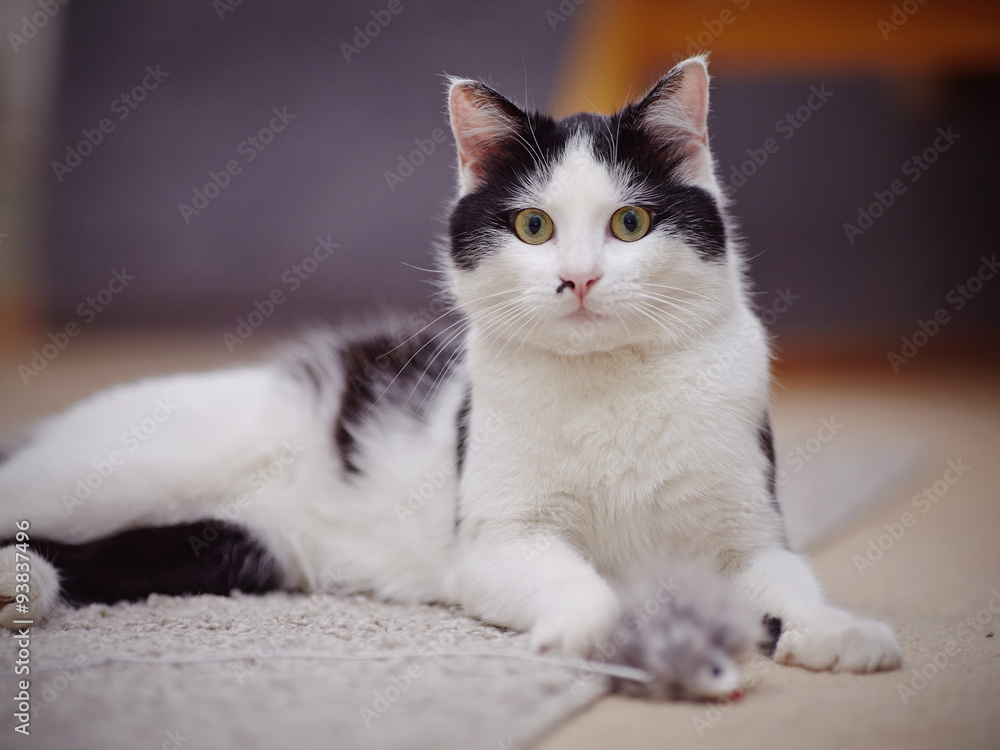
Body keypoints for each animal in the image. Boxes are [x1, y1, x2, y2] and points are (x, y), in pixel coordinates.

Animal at [0, 57, 904, 680]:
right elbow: (581, 579)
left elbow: (789, 581)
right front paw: (586, 628)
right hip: (121, 473)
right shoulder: (499, 543)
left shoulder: (750, 533)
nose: (579, 278)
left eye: (631, 222)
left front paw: (839, 631)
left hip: (239, 542)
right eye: (534, 226)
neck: (610, 386)